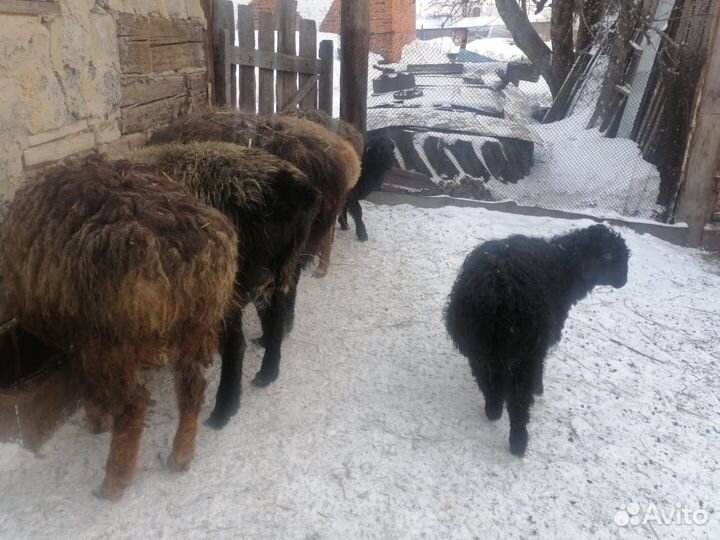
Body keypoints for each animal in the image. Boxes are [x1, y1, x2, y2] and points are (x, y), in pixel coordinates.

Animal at [0, 157, 237, 500]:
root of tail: (179, 249)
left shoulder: (81, 337)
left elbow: (82, 379)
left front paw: (96, 419)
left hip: (114, 342)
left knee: (133, 405)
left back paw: (114, 481)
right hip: (194, 326)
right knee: (192, 388)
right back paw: (180, 455)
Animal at [132, 142, 320, 427]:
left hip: (228, 283)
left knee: (236, 345)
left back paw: (223, 411)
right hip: (278, 267)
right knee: (276, 314)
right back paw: (268, 370)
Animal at [444, 224, 630, 457]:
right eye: (611, 256)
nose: (624, 281)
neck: (564, 266)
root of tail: (495, 285)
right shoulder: (541, 345)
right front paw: (538, 388)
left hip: (478, 345)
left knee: (488, 382)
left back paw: (493, 411)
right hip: (524, 352)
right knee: (519, 400)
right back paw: (518, 443)